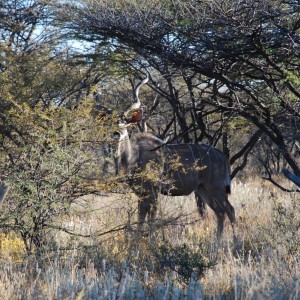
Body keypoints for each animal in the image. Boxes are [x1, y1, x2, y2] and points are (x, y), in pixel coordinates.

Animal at [116, 75, 236, 239]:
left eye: (124, 125)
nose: (115, 133)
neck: (134, 157)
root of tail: (222, 156)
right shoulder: (141, 194)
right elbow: (140, 219)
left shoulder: (153, 192)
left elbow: (151, 219)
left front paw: (151, 242)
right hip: (203, 189)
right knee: (220, 213)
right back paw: (217, 242)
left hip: (216, 187)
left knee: (230, 210)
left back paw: (236, 241)